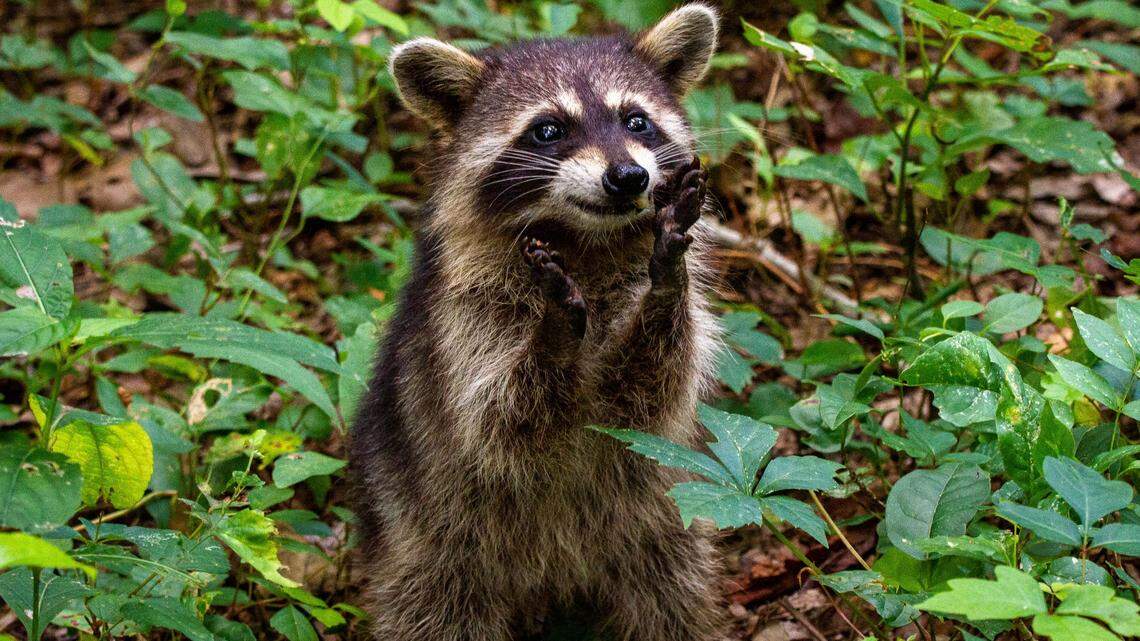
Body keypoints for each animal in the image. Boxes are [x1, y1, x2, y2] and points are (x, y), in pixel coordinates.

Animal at [349, 5, 724, 640]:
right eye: (549, 130)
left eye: (637, 121)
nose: (628, 177)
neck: (584, 242)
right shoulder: (464, 317)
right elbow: (499, 420)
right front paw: (551, 337)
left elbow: (651, 395)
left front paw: (664, 286)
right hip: (430, 544)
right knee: (436, 612)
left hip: (662, 529)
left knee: (674, 601)